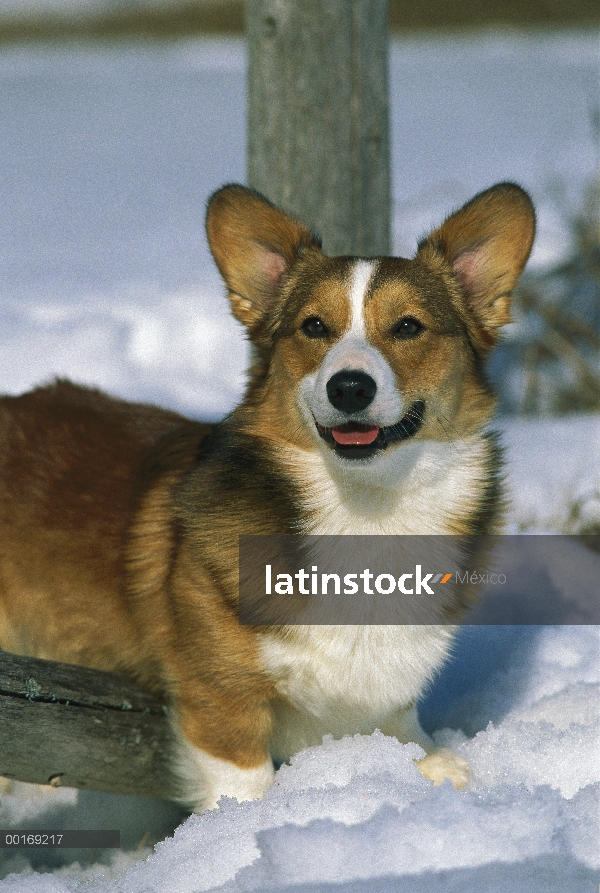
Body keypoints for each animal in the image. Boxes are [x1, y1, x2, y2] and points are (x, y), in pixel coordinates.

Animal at [0, 181, 536, 808]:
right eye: (313, 327)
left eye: (408, 327)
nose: (349, 387)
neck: (366, 505)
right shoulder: (220, 701)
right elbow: (247, 784)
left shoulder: (383, 701)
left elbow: (408, 738)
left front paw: (439, 770)